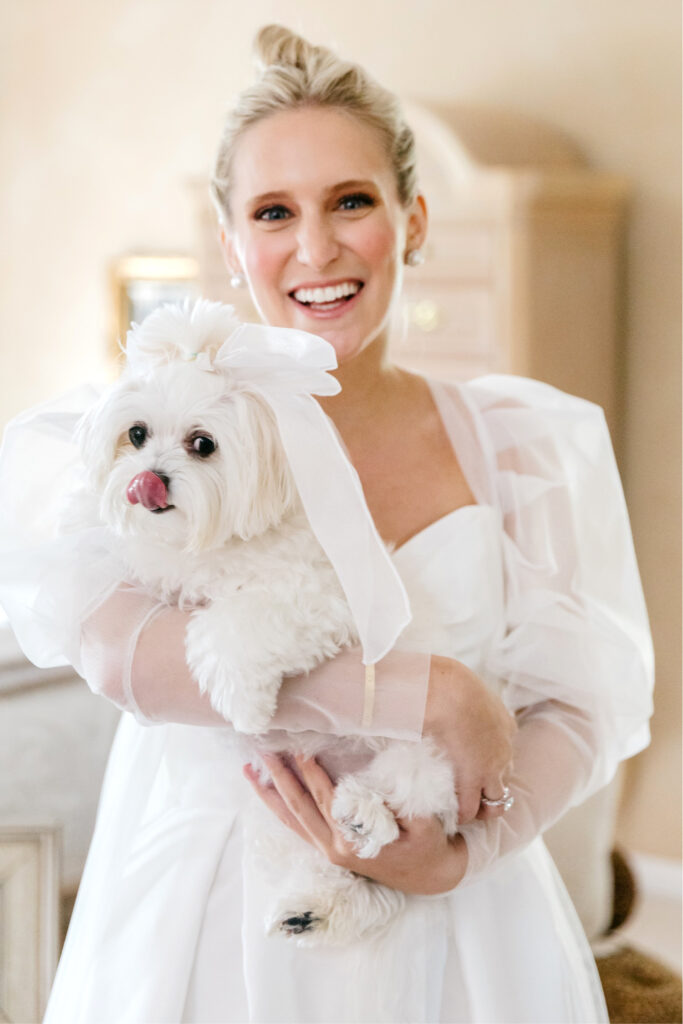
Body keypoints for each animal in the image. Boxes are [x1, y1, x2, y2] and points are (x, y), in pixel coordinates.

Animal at [73, 299, 458, 946]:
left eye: (202, 444)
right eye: (137, 434)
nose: (148, 479)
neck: (214, 543)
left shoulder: (320, 599)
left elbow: (235, 626)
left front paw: (243, 702)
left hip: (422, 758)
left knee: (408, 801)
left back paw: (364, 814)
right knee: (347, 875)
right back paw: (314, 905)